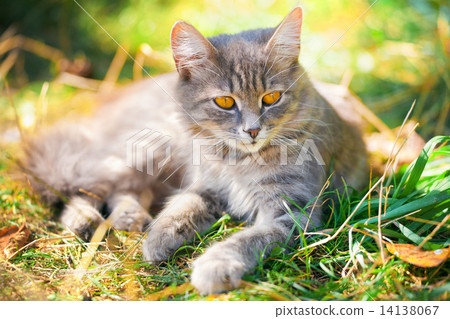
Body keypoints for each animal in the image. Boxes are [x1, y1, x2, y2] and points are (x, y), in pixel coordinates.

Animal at [22, 6, 368, 298]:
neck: (239, 161)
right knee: (86, 185)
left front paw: (214, 264)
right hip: (145, 151)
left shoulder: (295, 212)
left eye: (271, 98)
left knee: (120, 189)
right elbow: (180, 209)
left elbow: (249, 238)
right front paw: (157, 239)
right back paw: (86, 218)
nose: (253, 130)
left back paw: (127, 217)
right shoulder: (205, 186)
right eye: (225, 102)